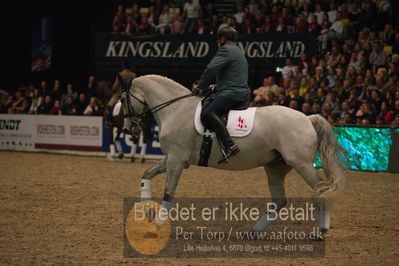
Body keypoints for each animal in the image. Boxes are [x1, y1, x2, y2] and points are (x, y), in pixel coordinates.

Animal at [122, 75, 346, 235]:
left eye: (123, 101)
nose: (127, 130)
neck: (176, 109)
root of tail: (308, 118)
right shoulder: (172, 159)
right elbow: (146, 174)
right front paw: (145, 211)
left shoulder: (176, 161)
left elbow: (168, 192)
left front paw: (157, 225)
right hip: (275, 167)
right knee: (280, 201)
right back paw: (254, 231)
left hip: (302, 165)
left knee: (321, 190)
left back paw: (321, 231)